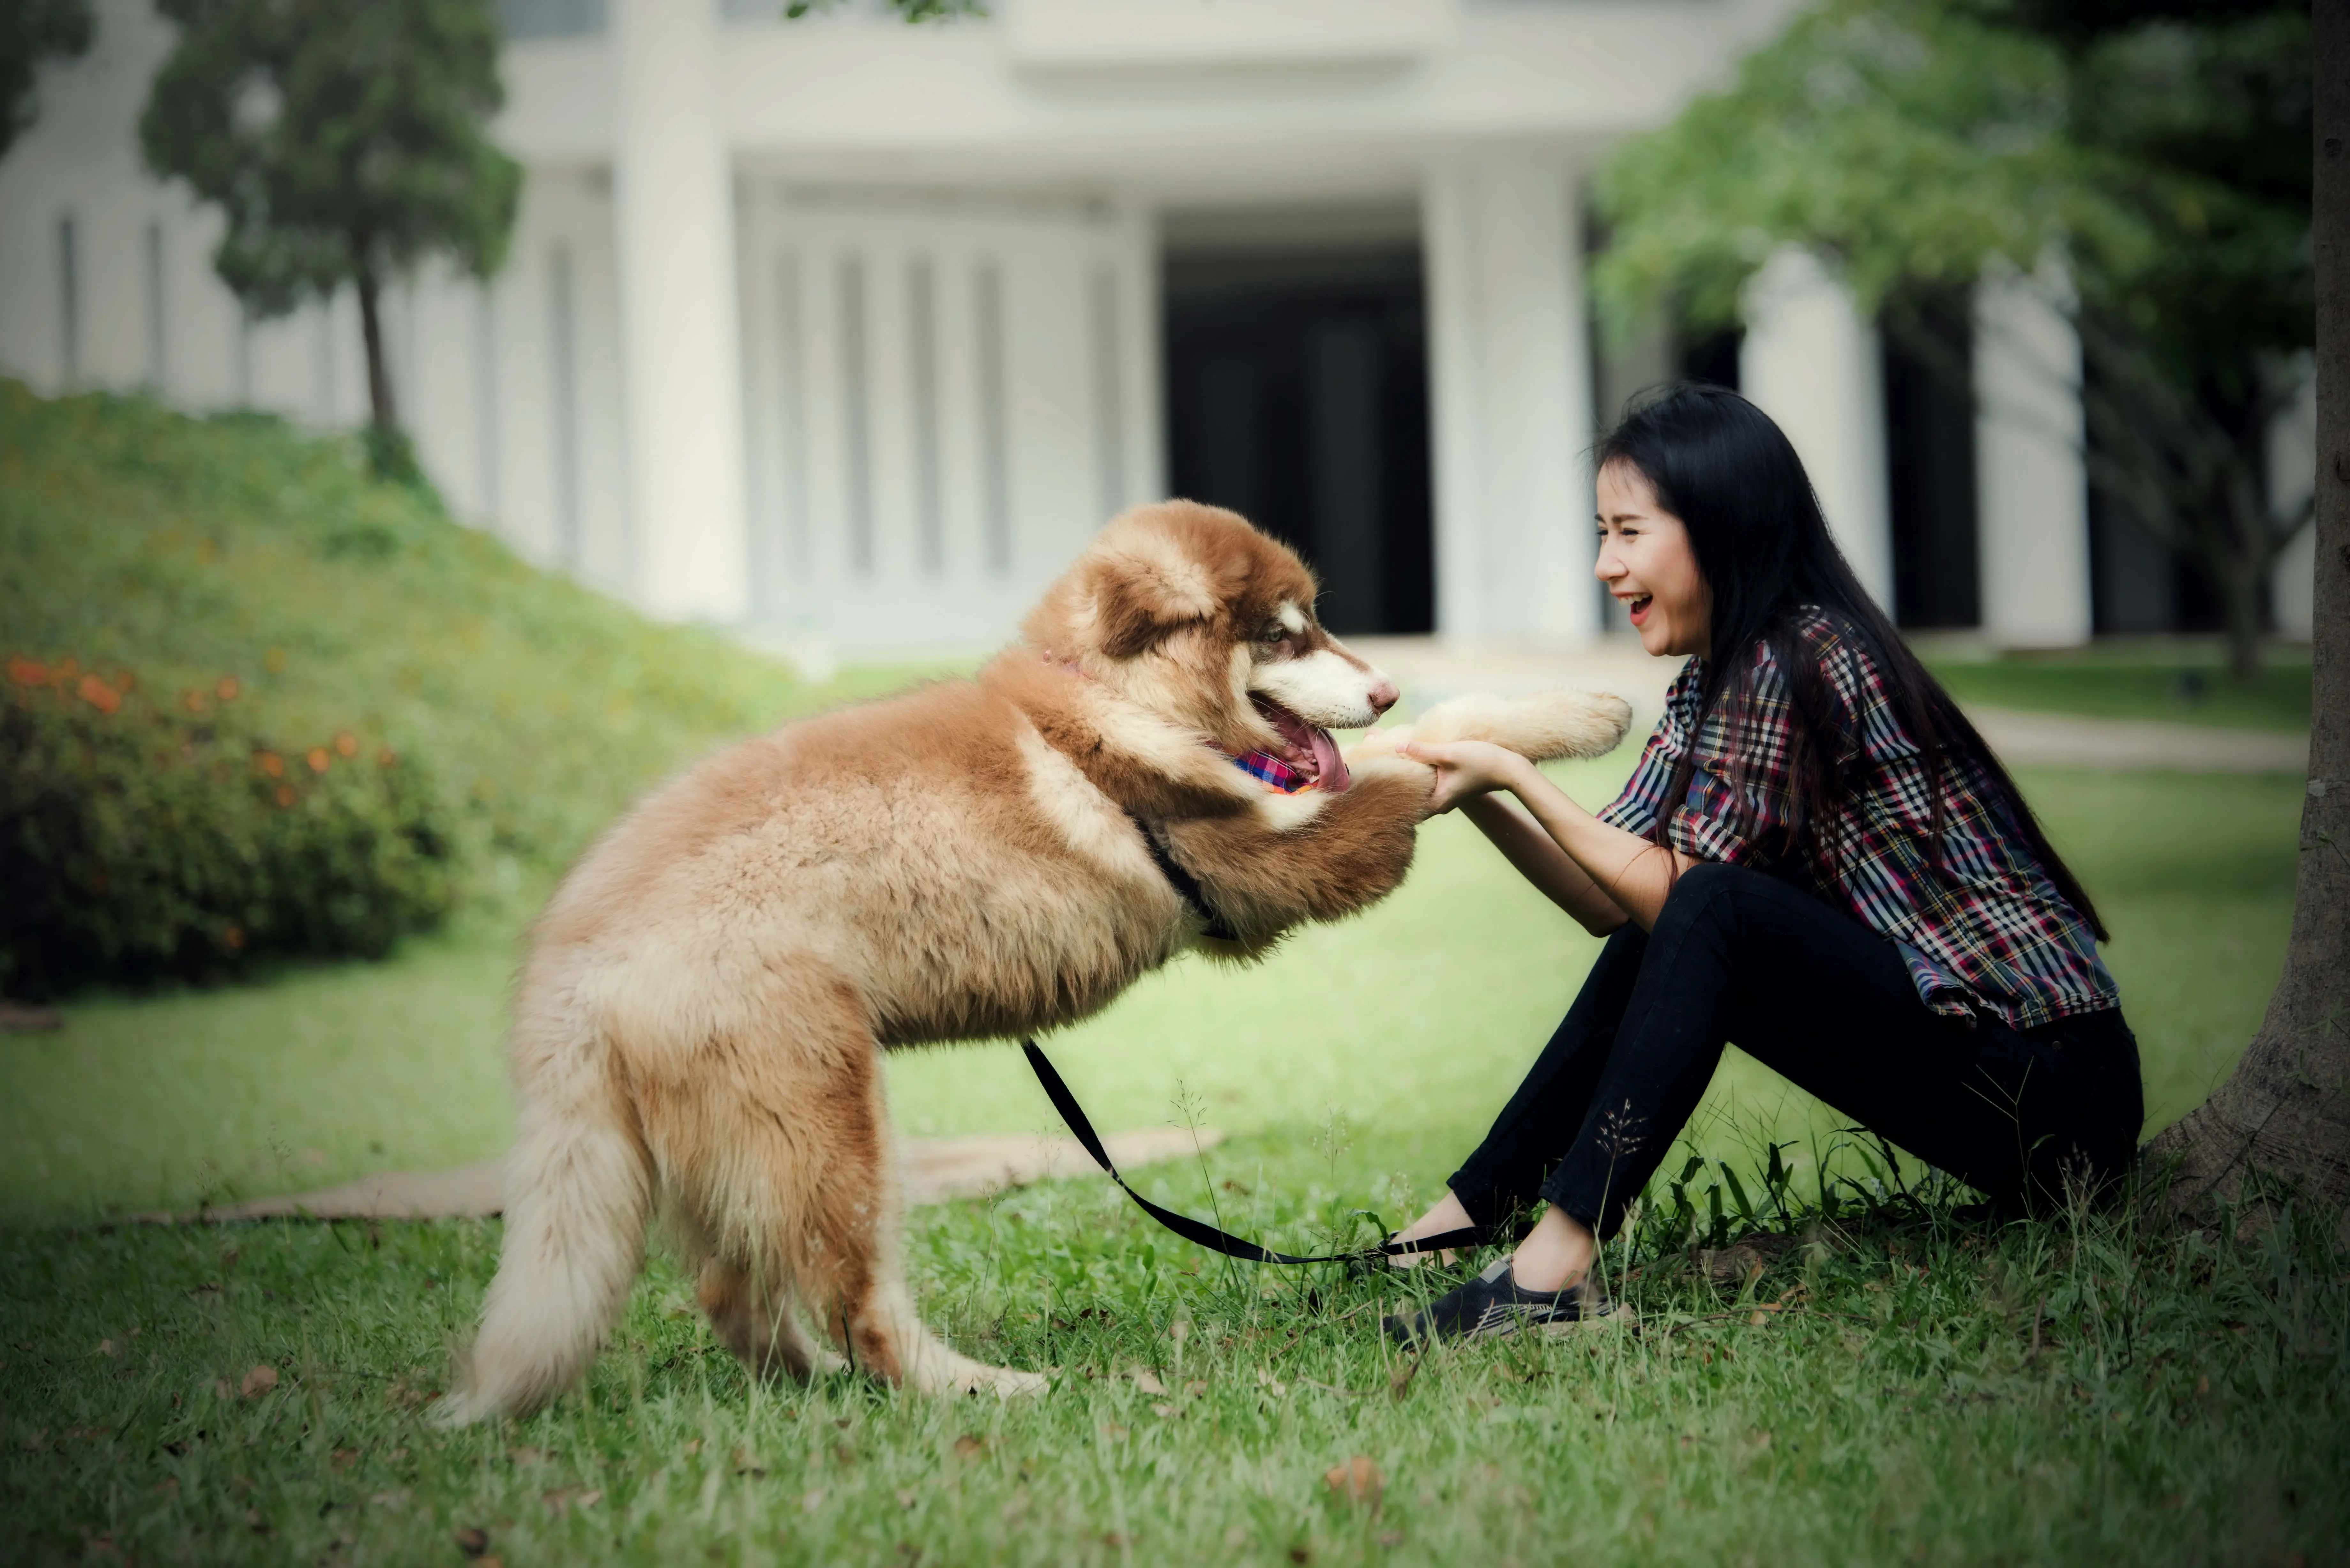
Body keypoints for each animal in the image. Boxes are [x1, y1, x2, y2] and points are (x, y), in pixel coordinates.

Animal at [432, 503, 1626, 1420]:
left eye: (1320, 622)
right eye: (1285, 636)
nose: (1380, 687)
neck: (1115, 704)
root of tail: (568, 961)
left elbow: (1431, 733)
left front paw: (1574, 708)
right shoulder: (1269, 865)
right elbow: (1417, 764)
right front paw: (1538, 725)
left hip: (725, 1136)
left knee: (737, 1288)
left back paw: (807, 1386)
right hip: (824, 1117)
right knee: (855, 1300)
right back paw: (974, 1387)